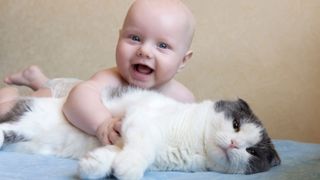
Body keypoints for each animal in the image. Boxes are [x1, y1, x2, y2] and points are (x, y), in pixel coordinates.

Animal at [0, 87, 280, 179]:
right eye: (236, 125)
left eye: (252, 151)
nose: (233, 143)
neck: (195, 146)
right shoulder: (142, 119)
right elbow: (143, 147)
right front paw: (128, 168)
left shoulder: (124, 142)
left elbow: (112, 153)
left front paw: (93, 165)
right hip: (30, 116)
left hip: (26, 135)